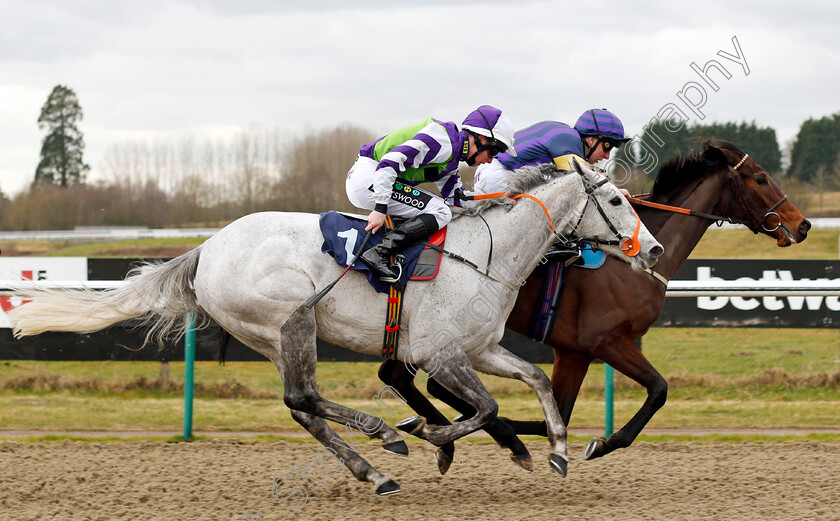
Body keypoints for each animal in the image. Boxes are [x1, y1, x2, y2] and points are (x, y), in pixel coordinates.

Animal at [8, 160, 664, 494]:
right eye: (616, 201)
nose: (654, 249)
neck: (488, 254)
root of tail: (207, 248)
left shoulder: (480, 350)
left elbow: (536, 379)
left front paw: (556, 450)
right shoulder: (442, 355)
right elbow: (484, 409)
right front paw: (437, 438)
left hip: (270, 336)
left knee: (301, 405)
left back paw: (373, 468)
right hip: (291, 319)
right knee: (304, 397)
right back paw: (385, 440)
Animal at [378, 138, 812, 472]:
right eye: (761, 178)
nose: (803, 224)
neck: (632, 262)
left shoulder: (575, 352)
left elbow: (557, 412)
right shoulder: (605, 341)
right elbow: (658, 390)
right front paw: (600, 443)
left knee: (399, 376)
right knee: (415, 378)